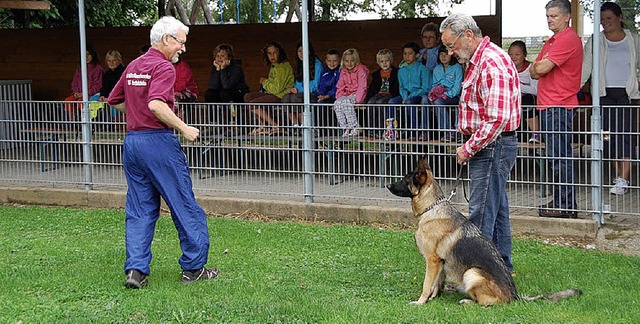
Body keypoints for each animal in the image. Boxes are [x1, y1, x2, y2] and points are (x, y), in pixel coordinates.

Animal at [388, 157, 584, 306]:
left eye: (404, 179)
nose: (389, 185)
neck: (432, 208)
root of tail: (515, 295)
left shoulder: (433, 260)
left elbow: (426, 284)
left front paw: (420, 302)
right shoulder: (440, 263)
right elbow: (436, 283)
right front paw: (433, 297)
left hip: (471, 273)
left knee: (489, 302)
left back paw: (467, 301)